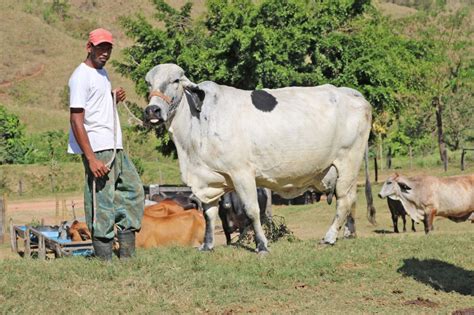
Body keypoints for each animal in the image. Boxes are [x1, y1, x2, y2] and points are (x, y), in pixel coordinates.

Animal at [143, 64, 374, 254]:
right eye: (149, 83)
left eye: (175, 80)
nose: (152, 110)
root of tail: (352, 93)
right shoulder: (209, 180)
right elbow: (209, 213)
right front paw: (207, 245)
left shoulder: (242, 173)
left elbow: (252, 211)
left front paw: (262, 245)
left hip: (348, 162)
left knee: (345, 200)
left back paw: (330, 237)